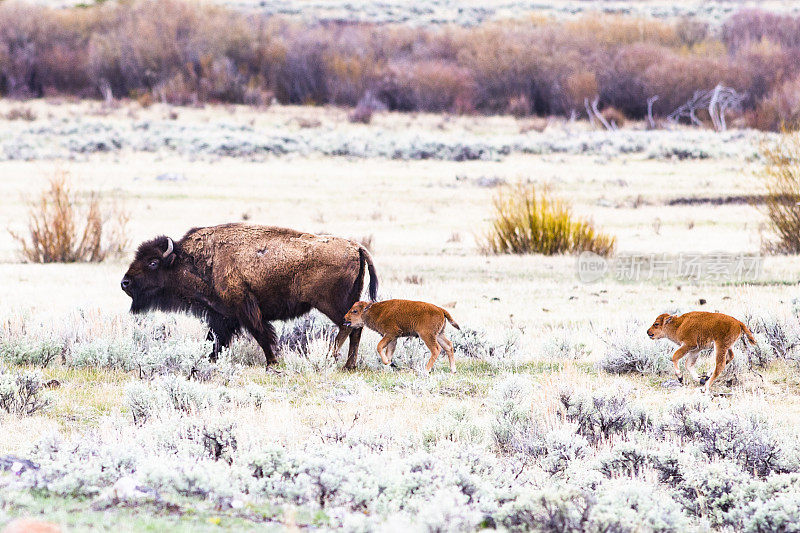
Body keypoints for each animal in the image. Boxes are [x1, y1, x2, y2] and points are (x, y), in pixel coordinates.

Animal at [120, 222, 380, 368]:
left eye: (153, 262)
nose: (125, 283)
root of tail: (356, 247)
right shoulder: (221, 315)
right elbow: (215, 340)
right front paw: (208, 360)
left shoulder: (245, 310)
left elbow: (262, 335)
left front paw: (272, 363)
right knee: (355, 331)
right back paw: (349, 365)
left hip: (333, 305)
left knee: (347, 329)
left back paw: (333, 359)